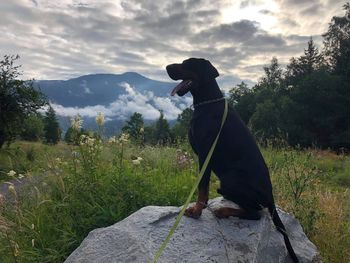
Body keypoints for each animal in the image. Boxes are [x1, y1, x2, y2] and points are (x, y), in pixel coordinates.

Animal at [166, 58, 298, 263]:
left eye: (188, 64)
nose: (166, 67)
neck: (207, 103)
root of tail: (271, 197)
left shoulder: (205, 154)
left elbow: (202, 187)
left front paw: (196, 210)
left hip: (230, 180)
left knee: (256, 213)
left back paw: (224, 211)